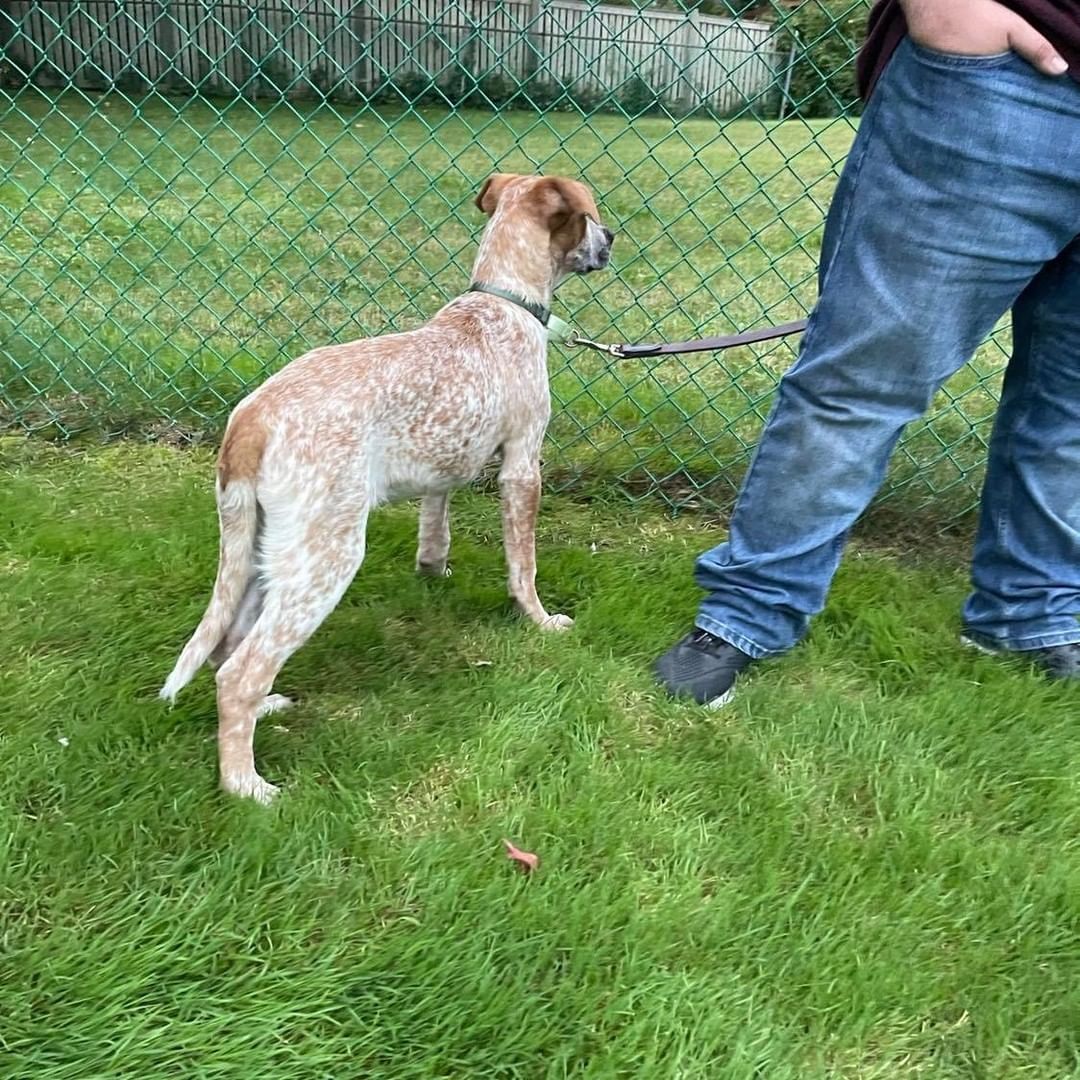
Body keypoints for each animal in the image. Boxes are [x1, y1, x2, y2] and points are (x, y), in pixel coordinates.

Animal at [159, 172, 617, 803]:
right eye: (590, 217)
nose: (613, 239)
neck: (503, 300)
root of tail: (252, 418)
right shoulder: (523, 465)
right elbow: (523, 566)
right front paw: (540, 620)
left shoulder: (441, 468)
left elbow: (435, 527)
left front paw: (432, 571)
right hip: (326, 557)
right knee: (238, 673)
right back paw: (246, 786)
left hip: (260, 551)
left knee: (227, 651)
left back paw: (266, 709)